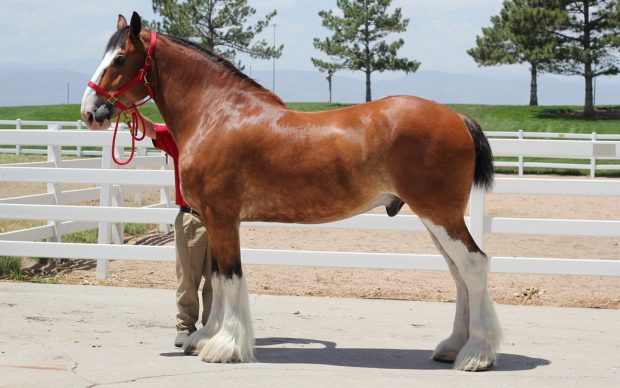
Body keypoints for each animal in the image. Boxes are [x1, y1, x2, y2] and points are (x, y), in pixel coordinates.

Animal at [82, 11, 502, 370]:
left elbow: (229, 276)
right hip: (434, 218)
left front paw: (226, 346)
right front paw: (205, 337)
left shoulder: (223, 217)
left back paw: (477, 354)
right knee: (458, 271)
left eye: (120, 59)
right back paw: (453, 347)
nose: (90, 112)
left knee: (473, 265)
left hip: (439, 213)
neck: (217, 114)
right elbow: (216, 277)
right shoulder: (216, 219)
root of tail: (457, 117)